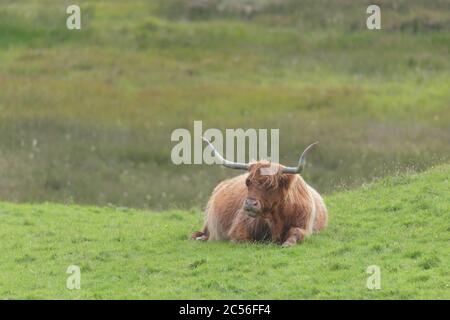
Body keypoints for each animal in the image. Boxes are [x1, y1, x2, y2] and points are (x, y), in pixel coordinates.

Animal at [191, 138, 326, 248]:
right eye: (248, 182)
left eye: (271, 185)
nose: (250, 204)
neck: (276, 218)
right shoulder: (240, 226)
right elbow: (244, 240)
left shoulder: (304, 226)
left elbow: (296, 233)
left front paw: (288, 243)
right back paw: (199, 238)